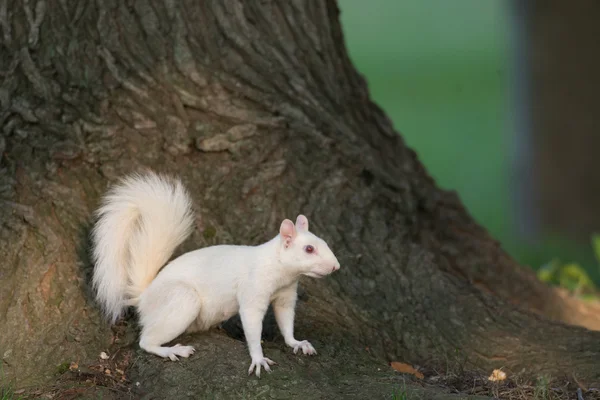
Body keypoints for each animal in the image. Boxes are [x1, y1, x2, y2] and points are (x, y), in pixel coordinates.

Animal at [91, 171, 340, 376]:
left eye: (324, 242)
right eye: (309, 249)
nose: (336, 266)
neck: (280, 270)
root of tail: (145, 296)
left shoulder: (286, 295)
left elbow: (286, 320)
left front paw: (297, 343)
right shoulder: (253, 290)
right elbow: (252, 324)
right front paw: (258, 358)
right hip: (181, 300)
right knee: (146, 341)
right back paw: (172, 351)